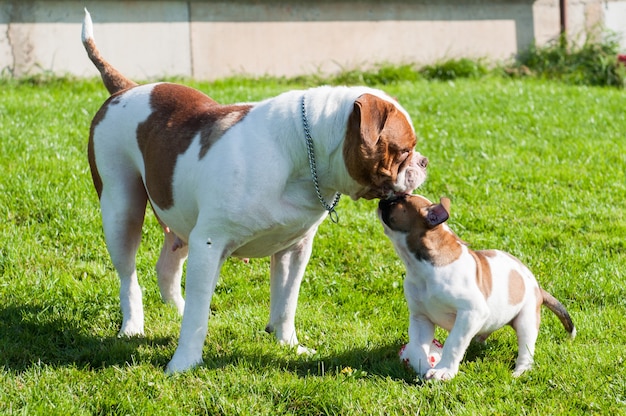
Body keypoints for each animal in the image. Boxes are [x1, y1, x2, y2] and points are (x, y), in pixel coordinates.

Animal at [80, 10, 426, 374]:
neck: (304, 153)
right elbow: (198, 318)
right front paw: (184, 363)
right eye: (403, 150)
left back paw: (176, 308)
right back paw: (133, 326)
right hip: (122, 210)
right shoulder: (209, 244)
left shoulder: (294, 249)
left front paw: (289, 344)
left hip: (180, 215)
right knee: (128, 275)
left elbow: (286, 302)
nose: (424, 161)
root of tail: (127, 88)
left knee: (167, 266)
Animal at [376, 195, 576, 380]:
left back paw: (520, 371)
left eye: (397, 200)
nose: (381, 200)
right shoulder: (420, 318)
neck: (421, 266)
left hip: (526, 319)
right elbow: (417, 347)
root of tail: (537, 287)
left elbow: (453, 342)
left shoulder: (471, 312)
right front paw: (423, 367)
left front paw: (444, 370)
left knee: (526, 348)